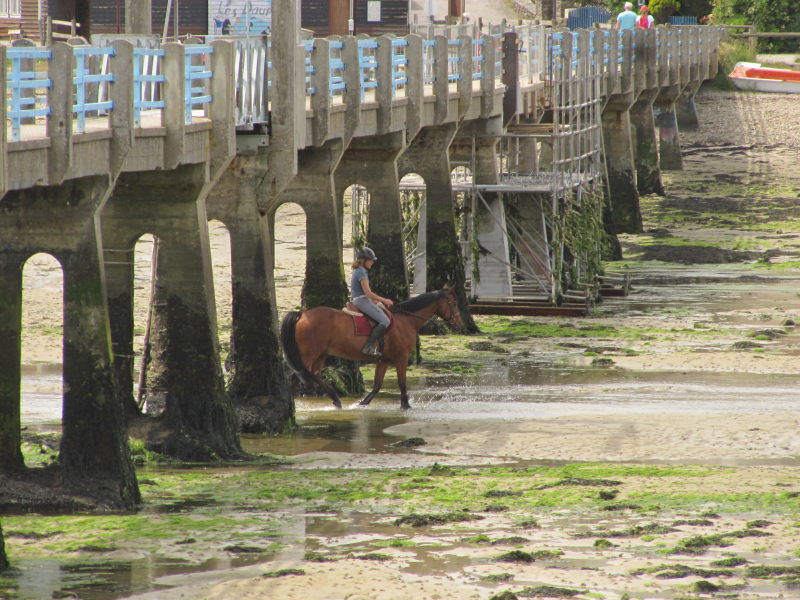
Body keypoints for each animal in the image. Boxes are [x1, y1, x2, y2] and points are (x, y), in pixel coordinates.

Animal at [280, 288, 462, 410]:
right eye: (453, 303)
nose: (460, 324)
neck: (406, 320)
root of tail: (303, 315)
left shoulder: (384, 359)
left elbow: (377, 385)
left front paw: (363, 403)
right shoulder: (401, 357)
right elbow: (402, 382)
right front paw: (405, 405)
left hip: (319, 354)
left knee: (313, 374)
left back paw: (334, 399)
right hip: (308, 354)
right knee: (295, 377)